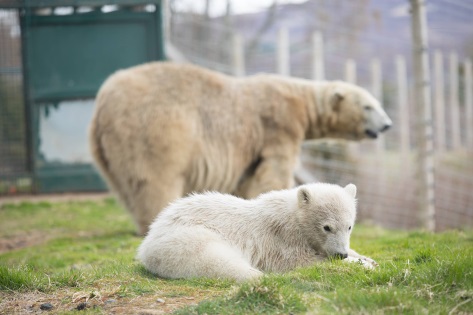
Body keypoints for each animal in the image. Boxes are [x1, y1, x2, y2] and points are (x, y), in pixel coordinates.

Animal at [88, 61, 390, 235]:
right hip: (155, 127)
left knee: (125, 184)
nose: (387, 124)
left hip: (104, 147)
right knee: (156, 177)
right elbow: (275, 171)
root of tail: (103, 101)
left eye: (376, 103)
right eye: (368, 106)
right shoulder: (278, 126)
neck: (301, 100)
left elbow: (247, 179)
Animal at [136, 183, 376, 282]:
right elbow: (301, 261)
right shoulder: (281, 239)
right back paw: (257, 275)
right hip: (185, 238)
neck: (292, 216)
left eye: (349, 226)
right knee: (215, 259)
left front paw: (367, 258)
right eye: (327, 227)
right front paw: (361, 265)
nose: (341, 254)